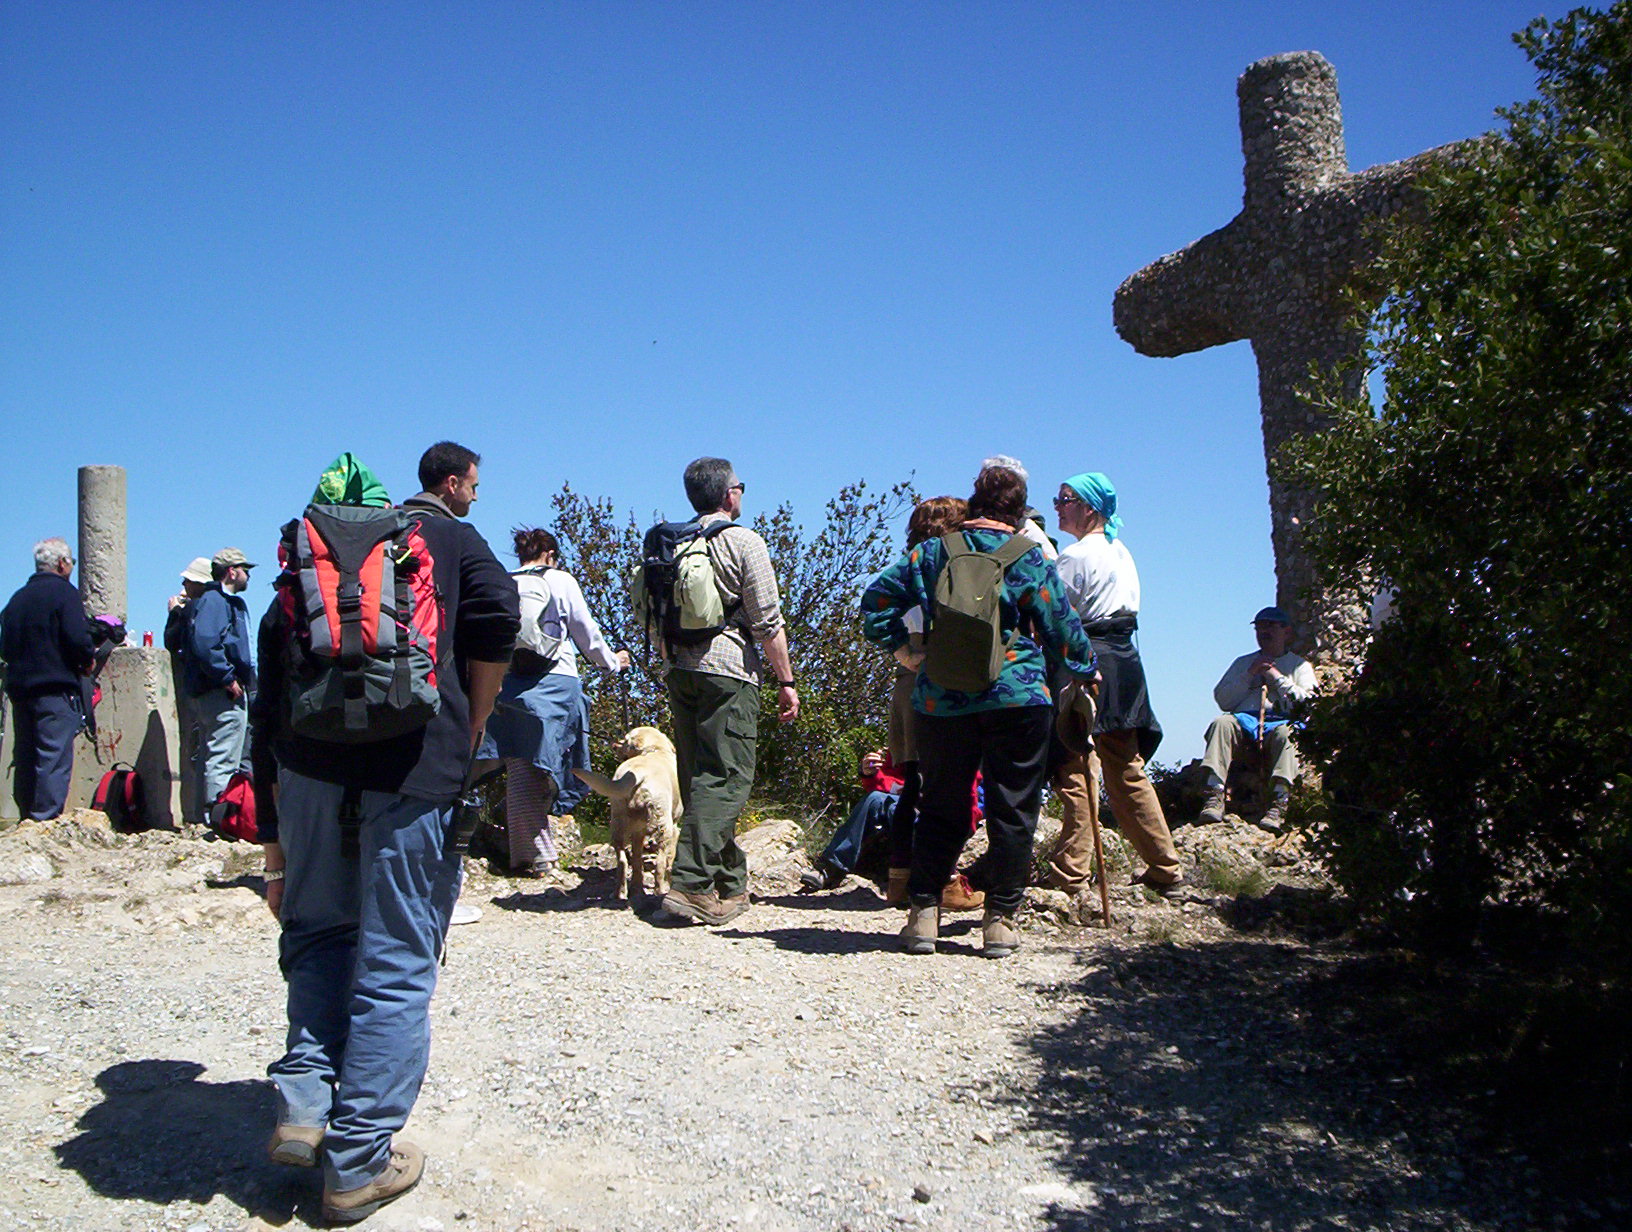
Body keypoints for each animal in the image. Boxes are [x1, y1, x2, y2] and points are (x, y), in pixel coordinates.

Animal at [573, 726, 682, 904]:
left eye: (624, 740)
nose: (614, 745)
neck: (654, 749)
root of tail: (638, 773)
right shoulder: (675, 828)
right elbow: (669, 860)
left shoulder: (639, 832)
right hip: (663, 826)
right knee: (659, 861)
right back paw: (660, 890)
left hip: (618, 822)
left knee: (624, 861)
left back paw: (623, 892)